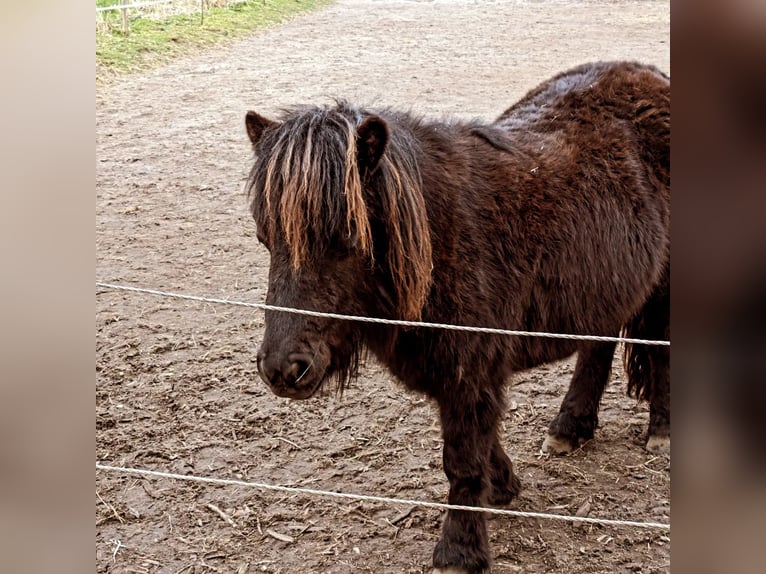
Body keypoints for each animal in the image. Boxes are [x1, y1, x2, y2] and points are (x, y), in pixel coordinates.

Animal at [243, 60, 668, 572]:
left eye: (346, 237)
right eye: (264, 238)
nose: (282, 370)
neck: (442, 238)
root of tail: (651, 75)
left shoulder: (469, 369)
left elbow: (462, 459)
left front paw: (460, 550)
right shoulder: (462, 372)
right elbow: (480, 439)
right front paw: (502, 486)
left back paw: (661, 432)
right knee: (597, 350)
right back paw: (570, 428)